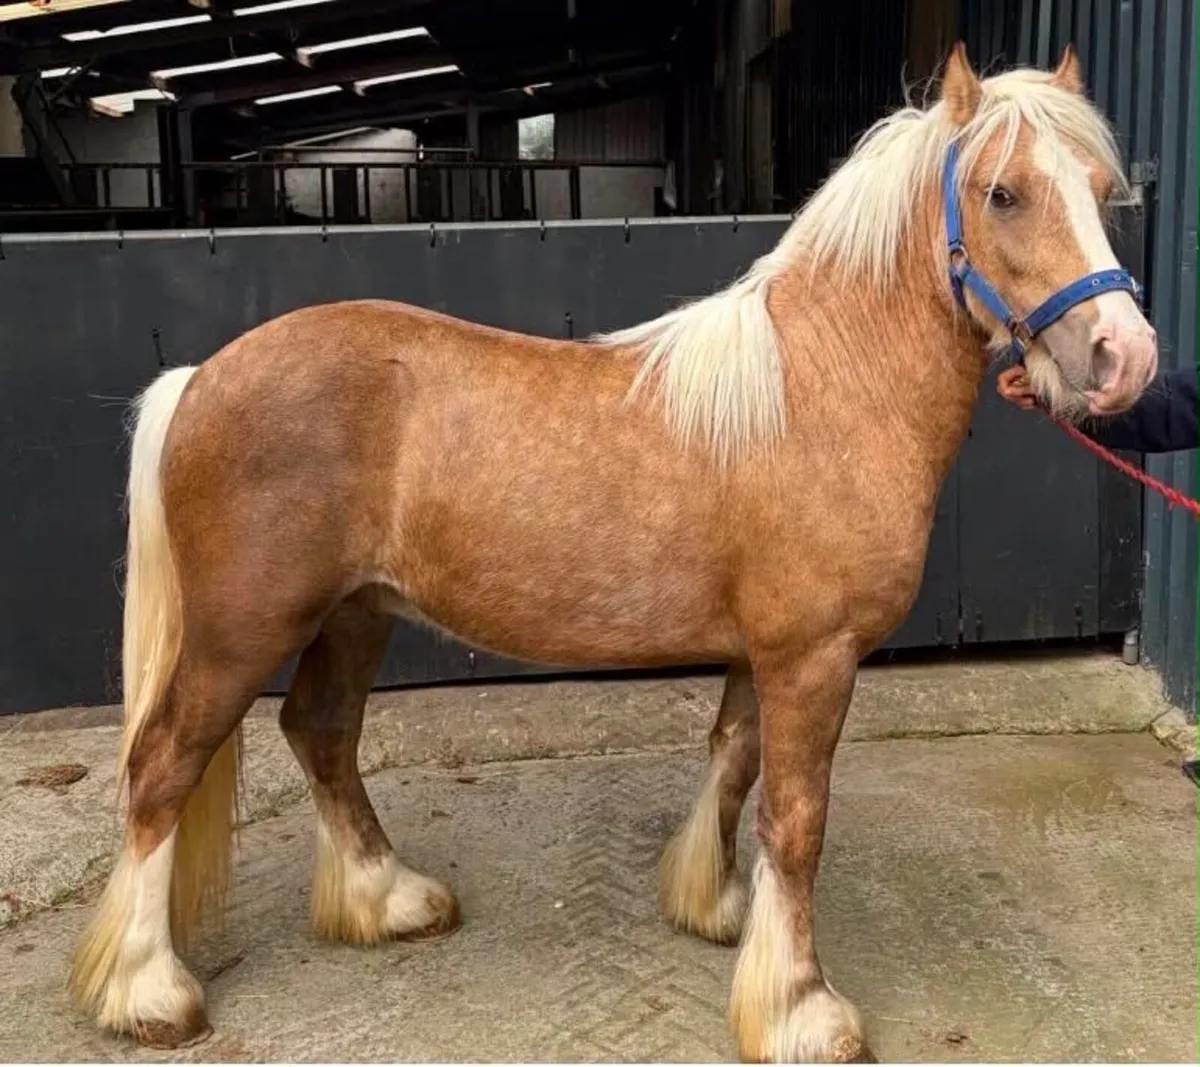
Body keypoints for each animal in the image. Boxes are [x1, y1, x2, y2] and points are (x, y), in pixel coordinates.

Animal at [67, 43, 1157, 1062]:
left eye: (1100, 189)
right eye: (1004, 192)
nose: (1124, 357)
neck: (820, 388)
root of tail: (200, 377)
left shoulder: (765, 652)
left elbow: (735, 762)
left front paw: (716, 908)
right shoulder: (813, 655)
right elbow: (797, 818)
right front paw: (800, 1009)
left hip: (355, 613)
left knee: (320, 734)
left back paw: (387, 897)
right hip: (242, 631)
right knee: (162, 767)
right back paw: (149, 989)